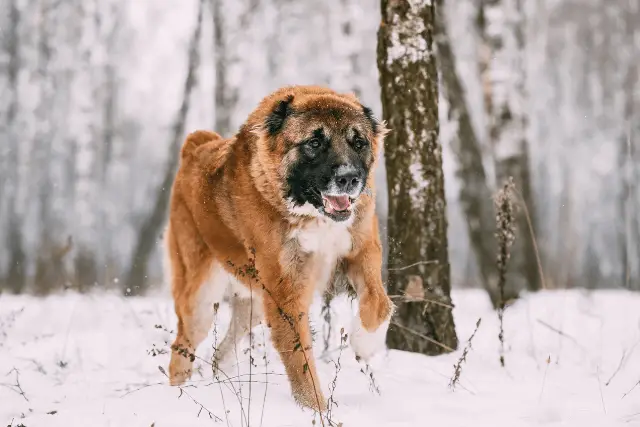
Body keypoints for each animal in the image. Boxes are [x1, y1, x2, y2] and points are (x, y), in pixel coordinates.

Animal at [165, 84, 392, 412]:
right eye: (314, 142)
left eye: (358, 142)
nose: (349, 178)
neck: (311, 213)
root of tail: (195, 146)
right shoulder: (286, 293)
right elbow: (301, 361)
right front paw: (316, 411)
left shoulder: (362, 251)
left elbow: (380, 303)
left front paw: (365, 344)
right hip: (201, 300)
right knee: (181, 348)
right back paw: (178, 395)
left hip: (256, 304)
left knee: (221, 353)